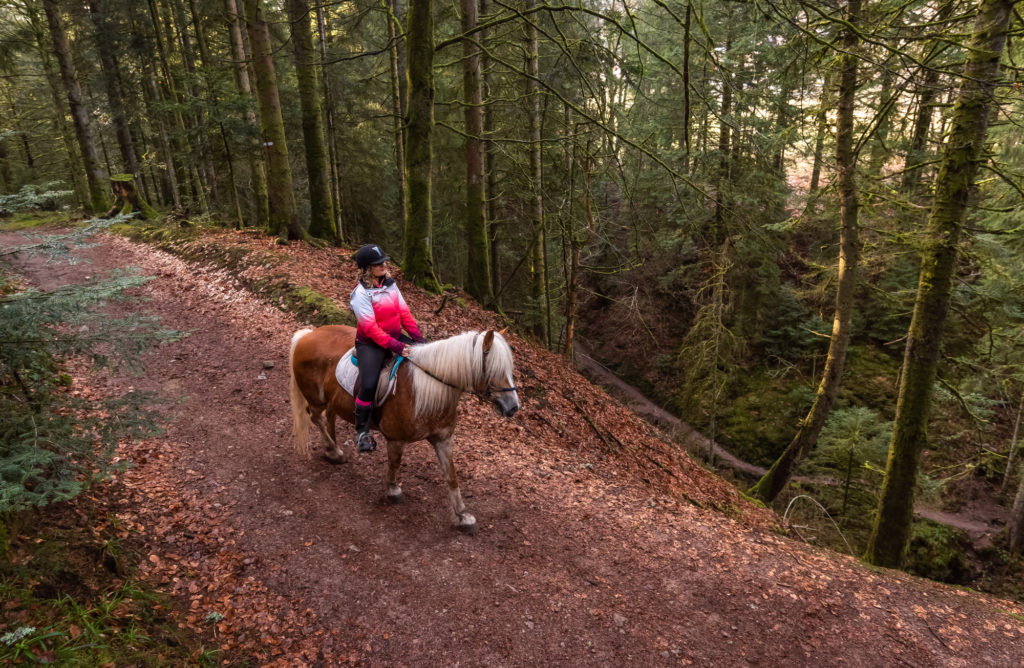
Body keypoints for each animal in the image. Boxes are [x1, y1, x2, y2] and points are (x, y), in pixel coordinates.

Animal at [290, 323, 520, 532]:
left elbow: (451, 477)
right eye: (494, 370)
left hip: (332, 399)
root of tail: (308, 335)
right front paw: (392, 490)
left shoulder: (443, 440)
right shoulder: (396, 439)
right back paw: (334, 450)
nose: (513, 407)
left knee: (329, 415)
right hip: (316, 398)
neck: (429, 390)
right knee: (316, 417)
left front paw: (462, 516)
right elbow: (395, 464)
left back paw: (333, 449)